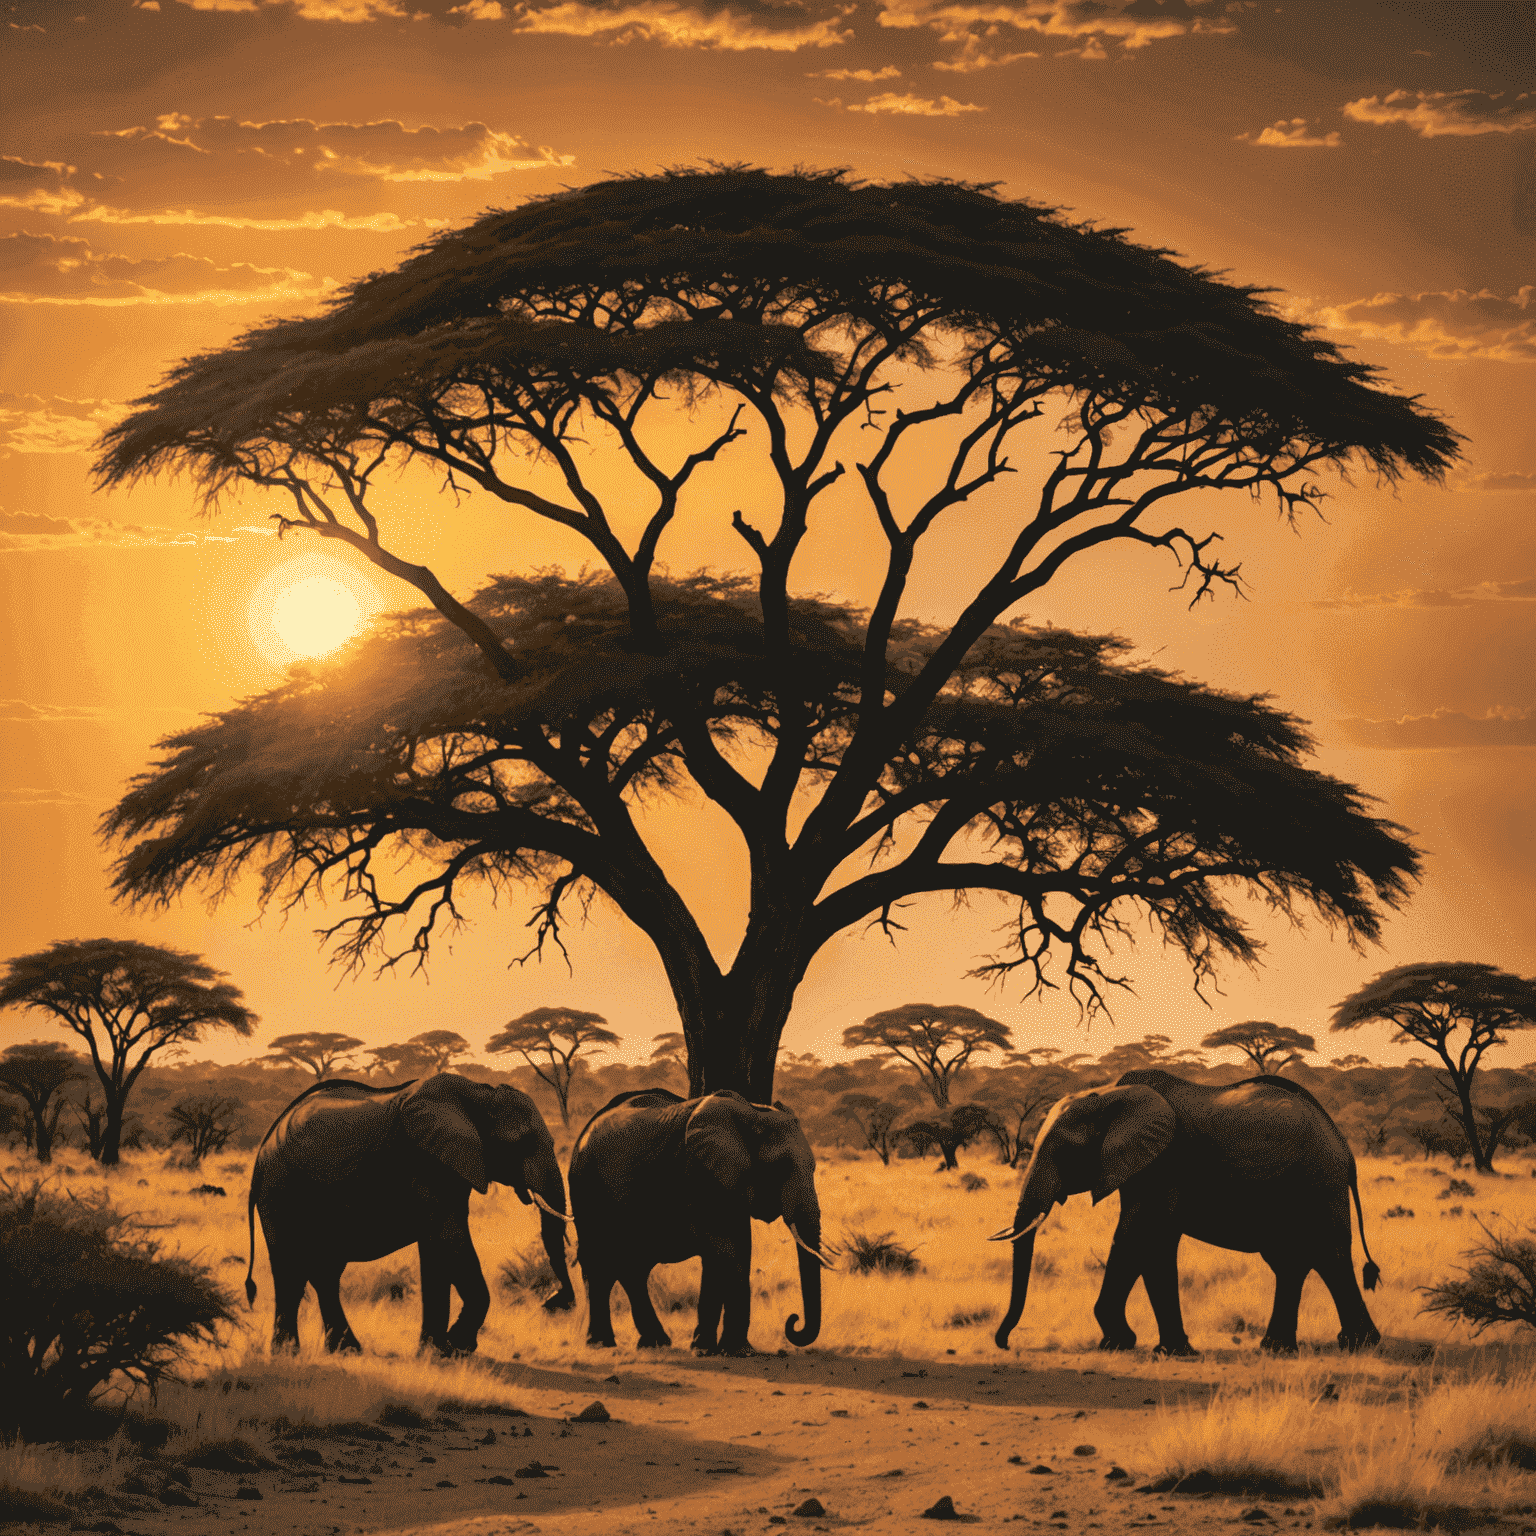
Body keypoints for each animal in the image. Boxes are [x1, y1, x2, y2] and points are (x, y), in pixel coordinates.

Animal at [245, 1075, 577, 1351]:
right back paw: (288, 1353)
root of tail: (264, 1144)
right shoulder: (427, 1161)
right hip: (280, 1189)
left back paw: (346, 1350)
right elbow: (449, 1237)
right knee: (290, 1269)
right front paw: (457, 1346)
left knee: (324, 1272)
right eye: (522, 1142)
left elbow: (438, 1244)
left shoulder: (448, 1166)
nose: (555, 1302)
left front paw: (435, 1350)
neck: (478, 1095)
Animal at [568, 1081, 829, 1357]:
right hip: (586, 1186)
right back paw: (600, 1343)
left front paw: (708, 1348)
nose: (793, 1321)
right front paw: (735, 1351)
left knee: (632, 1267)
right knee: (599, 1261)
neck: (752, 1114)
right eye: (779, 1167)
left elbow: (736, 1248)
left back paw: (654, 1342)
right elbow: (726, 1250)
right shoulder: (700, 1173)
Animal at [989, 1069, 1388, 1357]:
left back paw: (1356, 1345)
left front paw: (1126, 1343)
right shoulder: (1143, 1166)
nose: (1005, 1342)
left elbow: (1139, 1235)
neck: (1109, 1094)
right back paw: (1281, 1348)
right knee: (1293, 1262)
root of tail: (1344, 1145)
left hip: (1318, 1182)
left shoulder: (1165, 1164)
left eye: (1066, 1152)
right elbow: (1152, 1243)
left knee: (1328, 1255)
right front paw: (1161, 1348)